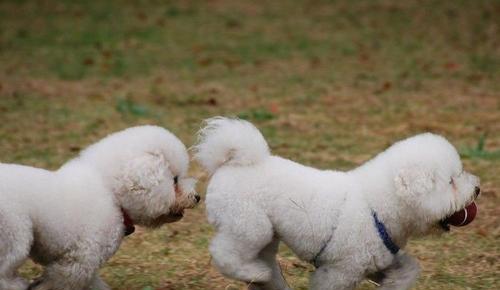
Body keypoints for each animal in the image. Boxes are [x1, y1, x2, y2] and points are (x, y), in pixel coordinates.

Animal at [0, 125, 199, 290]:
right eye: (174, 180)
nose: (196, 197)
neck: (111, 194)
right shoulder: (80, 261)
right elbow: (60, 281)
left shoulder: (85, 268)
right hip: (14, 235)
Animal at [194, 118, 480, 290]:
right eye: (452, 181)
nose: (477, 189)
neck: (377, 206)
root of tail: (232, 162)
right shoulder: (339, 272)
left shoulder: (376, 262)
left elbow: (409, 269)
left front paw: (394, 283)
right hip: (249, 225)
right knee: (224, 253)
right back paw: (252, 272)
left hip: (267, 235)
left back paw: (262, 277)